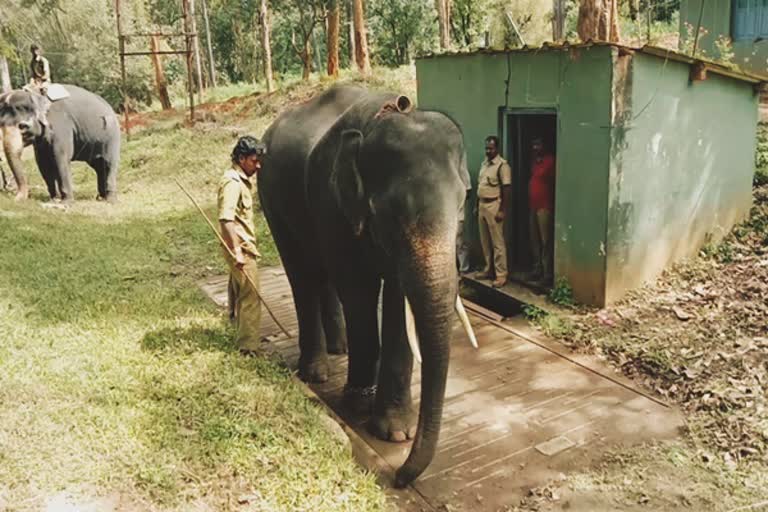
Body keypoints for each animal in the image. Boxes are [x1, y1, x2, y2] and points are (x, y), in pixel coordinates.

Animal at [258, 86, 474, 486]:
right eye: (390, 215)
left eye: (463, 204)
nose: (400, 478)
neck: (393, 113)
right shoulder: (332, 203)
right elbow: (357, 289)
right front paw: (358, 403)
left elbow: (398, 300)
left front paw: (396, 431)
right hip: (271, 200)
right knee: (302, 272)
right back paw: (316, 371)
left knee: (321, 273)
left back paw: (339, 348)